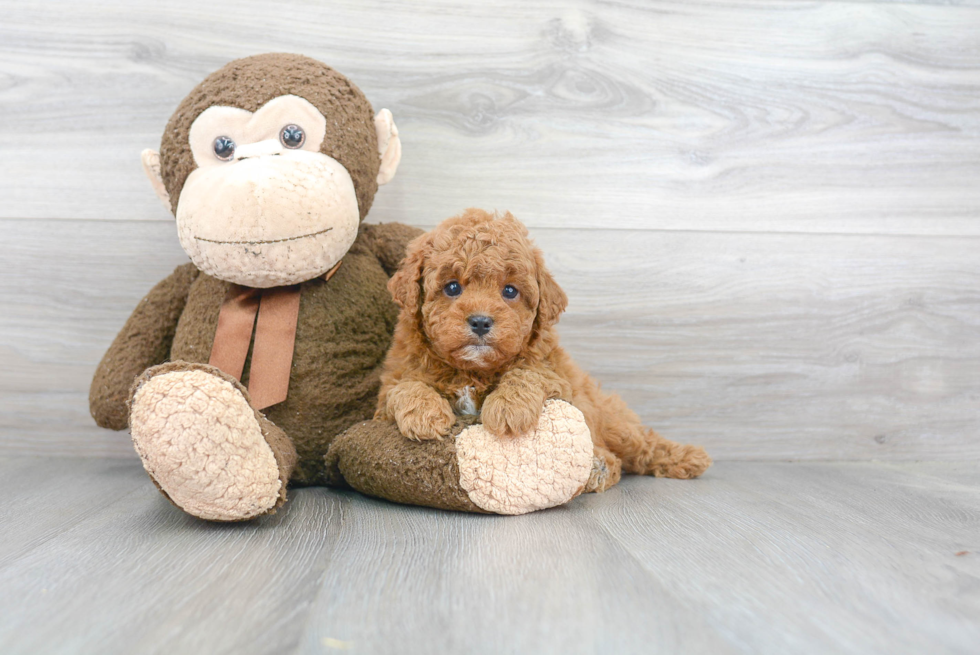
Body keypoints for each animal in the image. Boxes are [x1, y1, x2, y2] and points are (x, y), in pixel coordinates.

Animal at [378, 208, 712, 490]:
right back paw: (599, 468)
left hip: (613, 422)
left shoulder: (556, 376)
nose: (481, 322)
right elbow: (404, 387)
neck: (472, 371)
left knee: (643, 445)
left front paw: (508, 408)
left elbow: (528, 373)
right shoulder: (386, 394)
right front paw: (425, 414)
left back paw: (686, 457)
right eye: (451, 287)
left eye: (509, 291)